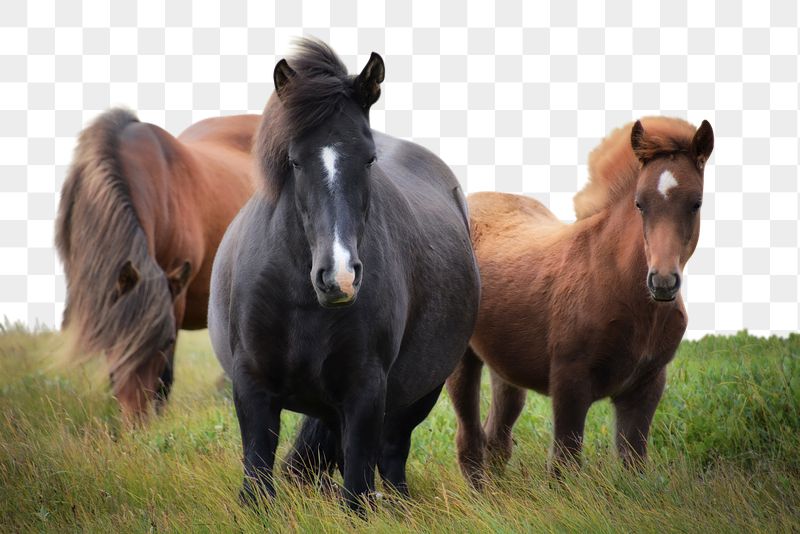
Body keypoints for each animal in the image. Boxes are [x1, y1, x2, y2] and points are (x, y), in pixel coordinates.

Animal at [208, 39, 480, 512]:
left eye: (369, 159)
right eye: (295, 161)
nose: (340, 278)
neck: (300, 298)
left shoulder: (365, 391)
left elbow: (356, 491)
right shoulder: (252, 387)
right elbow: (257, 481)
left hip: (418, 394)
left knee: (391, 456)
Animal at [446, 117, 714, 488]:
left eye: (696, 203)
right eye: (639, 203)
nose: (662, 282)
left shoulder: (647, 385)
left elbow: (633, 462)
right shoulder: (569, 380)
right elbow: (564, 464)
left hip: (505, 366)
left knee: (496, 436)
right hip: (462, 359)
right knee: (469, 437)